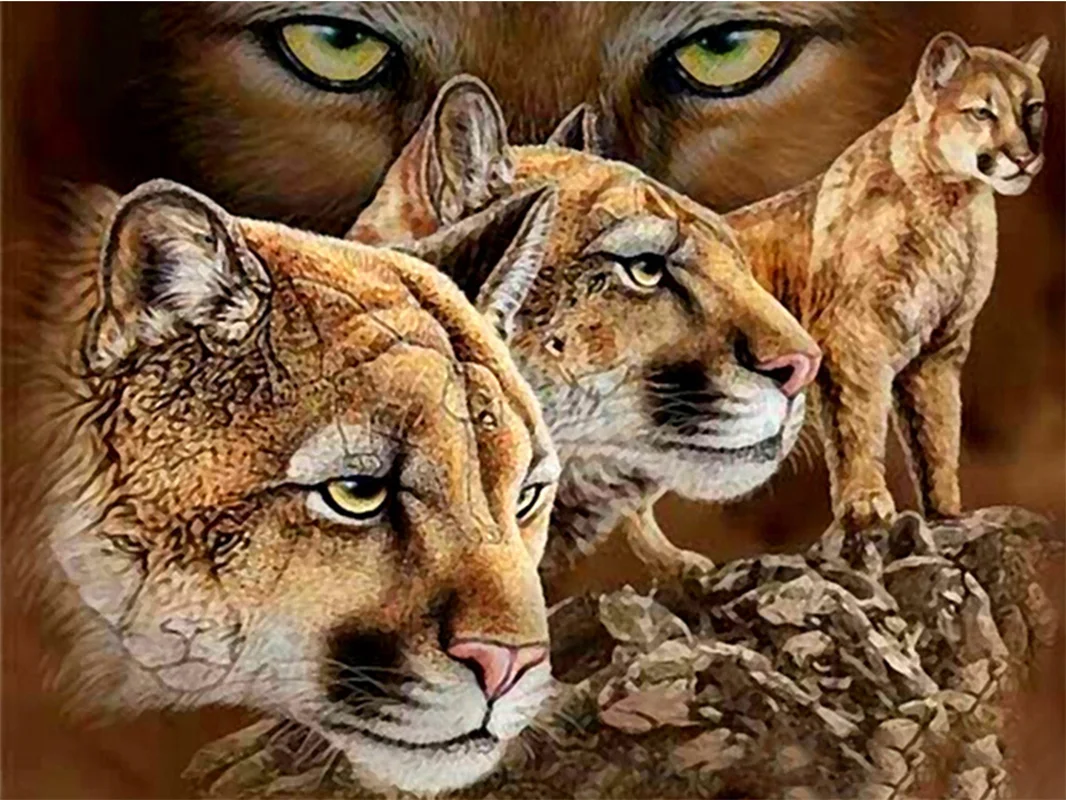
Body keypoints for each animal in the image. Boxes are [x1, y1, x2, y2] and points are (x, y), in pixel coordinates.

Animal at [723, 33, 1049, 533]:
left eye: (1032, 107)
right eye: (983, 112)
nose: (1025, 158)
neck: (952, 203)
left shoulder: (938, 349)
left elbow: (937, 432)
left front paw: (946, 511)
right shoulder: (850, 336)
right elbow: (858, 423)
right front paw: (865, 503)